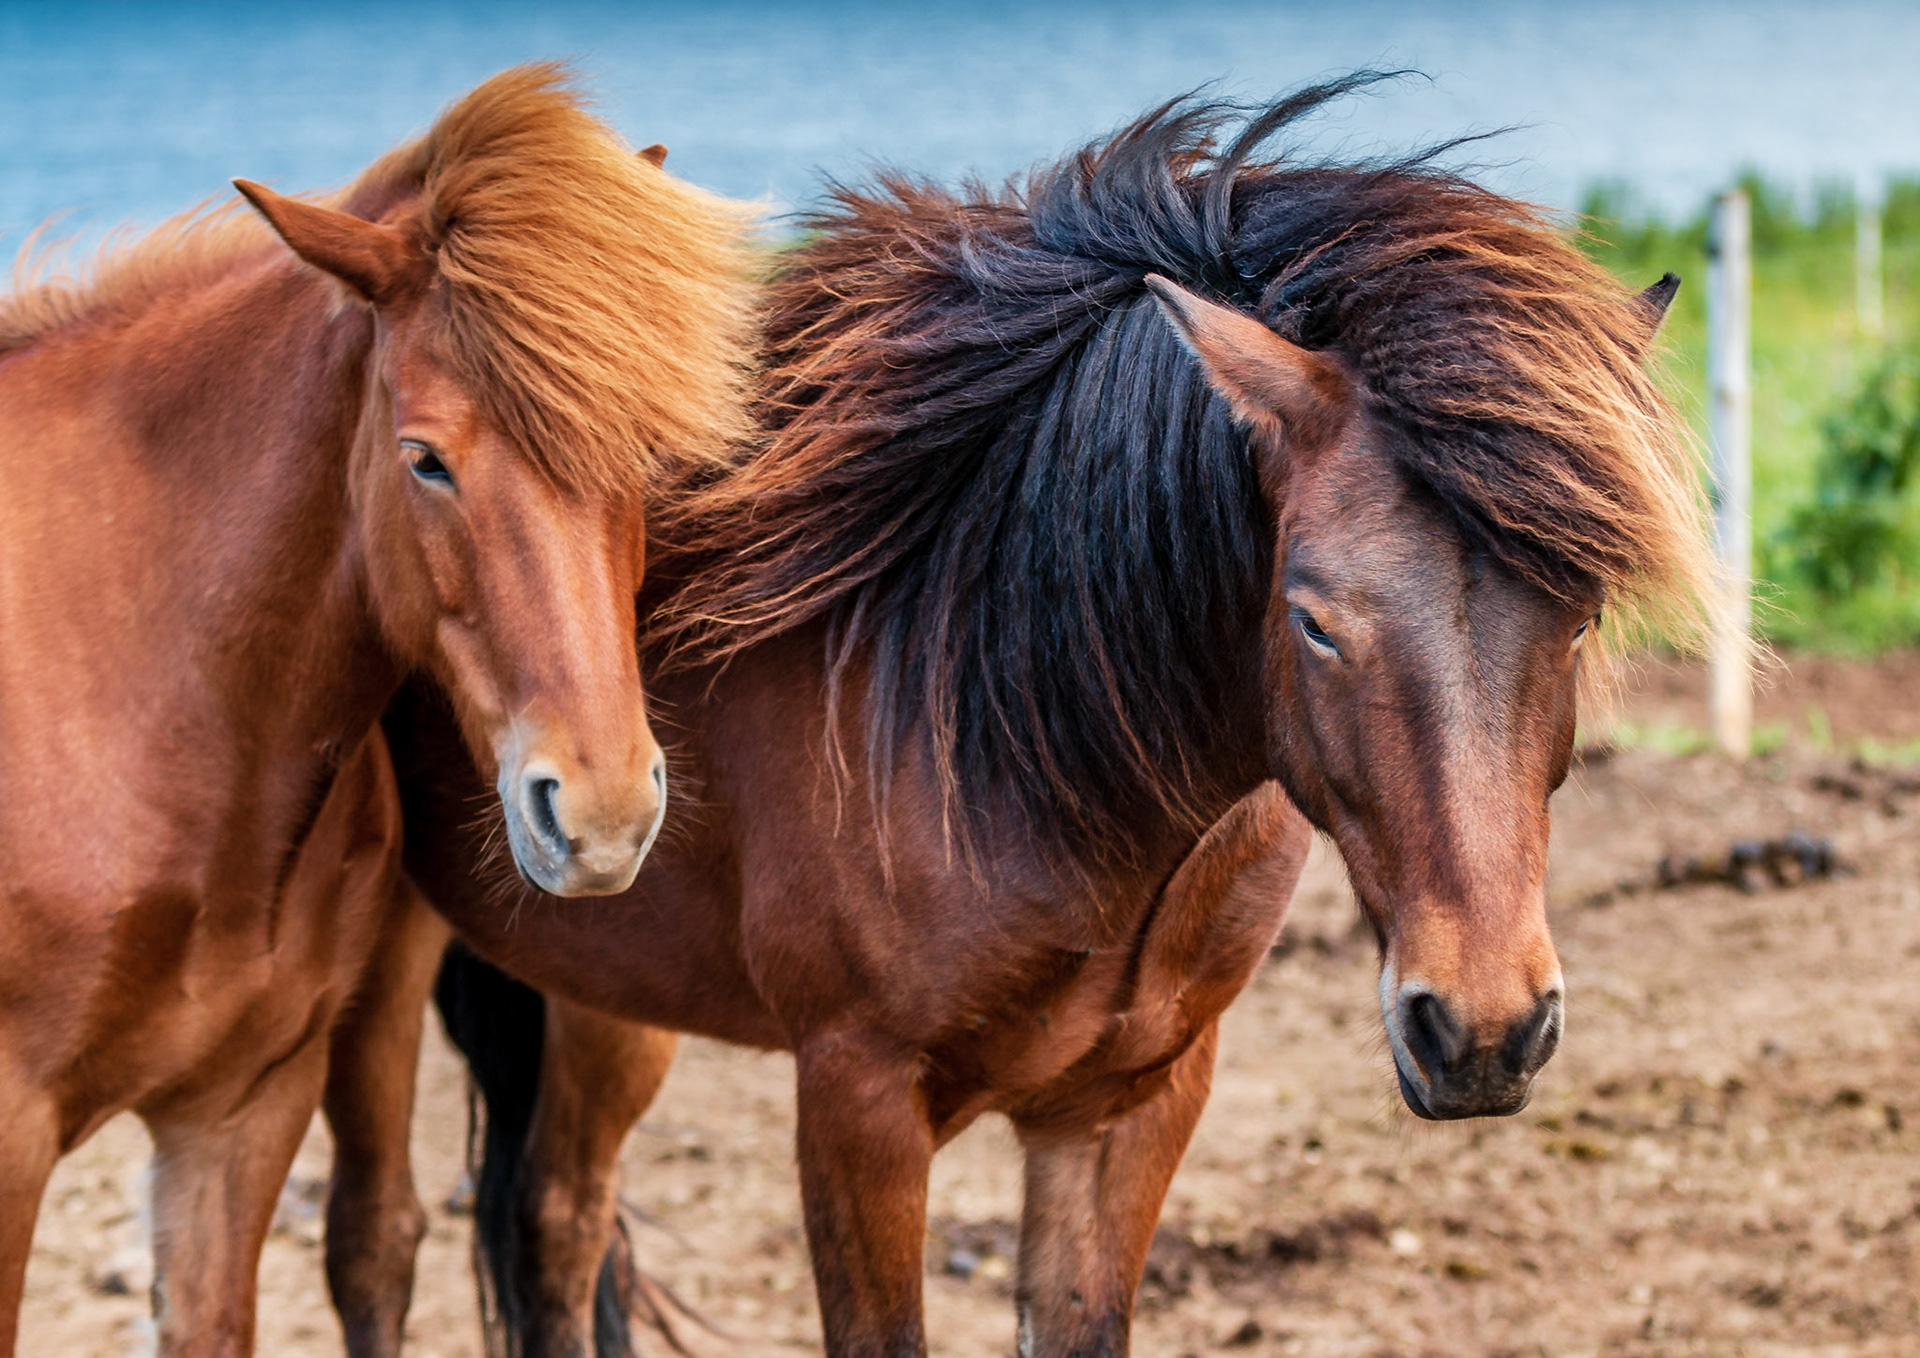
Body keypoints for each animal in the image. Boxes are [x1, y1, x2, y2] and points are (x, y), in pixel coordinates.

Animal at [335, 75, 1714, 1358]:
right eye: (1316, 618)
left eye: (1581, 615)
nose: (1483, 1029)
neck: (1007, 706)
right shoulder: (858, 1104)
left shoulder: (1134, 1104)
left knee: (558, 1224)